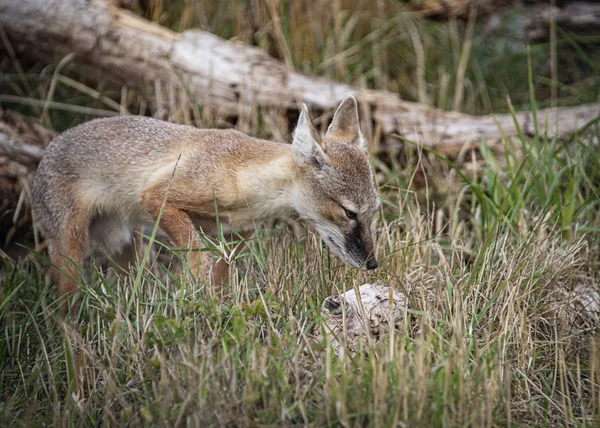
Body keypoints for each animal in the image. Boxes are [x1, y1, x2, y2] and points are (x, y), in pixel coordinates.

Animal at [31, 95, 380, 306]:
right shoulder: (158, 198)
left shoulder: (233, 237)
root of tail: (46, 152)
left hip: (125, 249)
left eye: (373, 212)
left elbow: (221, 278)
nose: (373, 264)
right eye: (350, 213)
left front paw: (218, 310)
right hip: (72, 253)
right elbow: (199, 257)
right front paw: (197, 293)